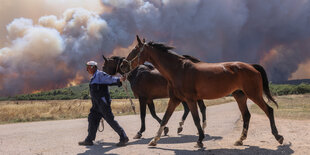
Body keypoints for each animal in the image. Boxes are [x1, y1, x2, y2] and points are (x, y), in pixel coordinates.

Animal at [120, 35, 284, 148]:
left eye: (135, 50)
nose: (123, 65)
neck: (178, 70)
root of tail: (251, 66)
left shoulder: (190, 100)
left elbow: (196, 119)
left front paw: (199, 140)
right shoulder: (175, 99)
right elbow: (165, 118)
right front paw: (154, 140)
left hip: (254, 94)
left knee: (268, 110)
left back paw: (278, 137)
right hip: (240, 96)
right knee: (246, 116)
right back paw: (240, 140)